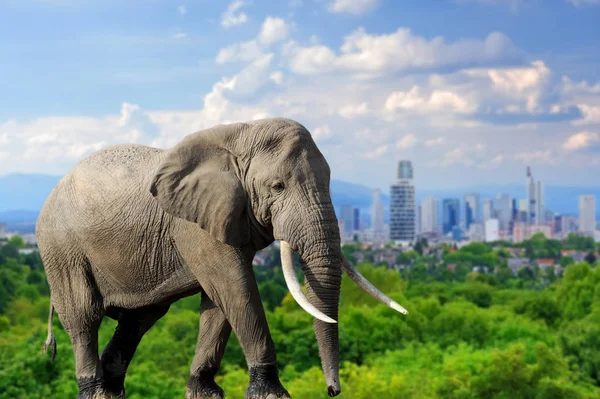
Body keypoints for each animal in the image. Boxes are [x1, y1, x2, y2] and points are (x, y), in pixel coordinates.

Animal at [36, 117, 408, 398]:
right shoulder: (194, 224)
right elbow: (235, 286)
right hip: (61, 247)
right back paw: (95, 391)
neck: (241, 134)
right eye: (277, 187)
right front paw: (271, 394)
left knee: (140, 317)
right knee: (84, 314)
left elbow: (219, 300)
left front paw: (203, 391)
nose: (333, 391)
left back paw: (112, 389)